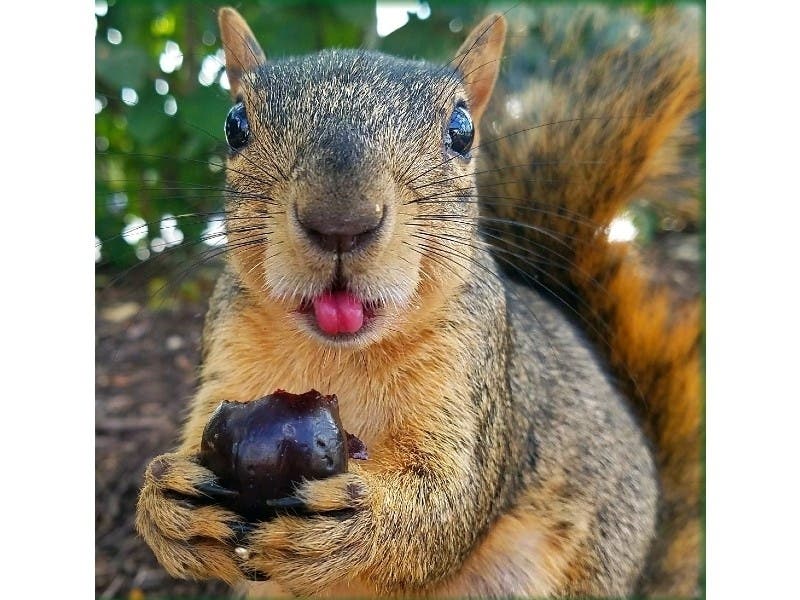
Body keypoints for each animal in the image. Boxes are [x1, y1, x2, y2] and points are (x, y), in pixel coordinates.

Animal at [136, 5, 701, 598]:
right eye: (235, 124)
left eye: (462, 131)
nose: (341, 221)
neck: (338, 354)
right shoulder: (228, 354)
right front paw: (166, 503)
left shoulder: (473, 374)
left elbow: (449, 506)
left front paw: (357, 521)